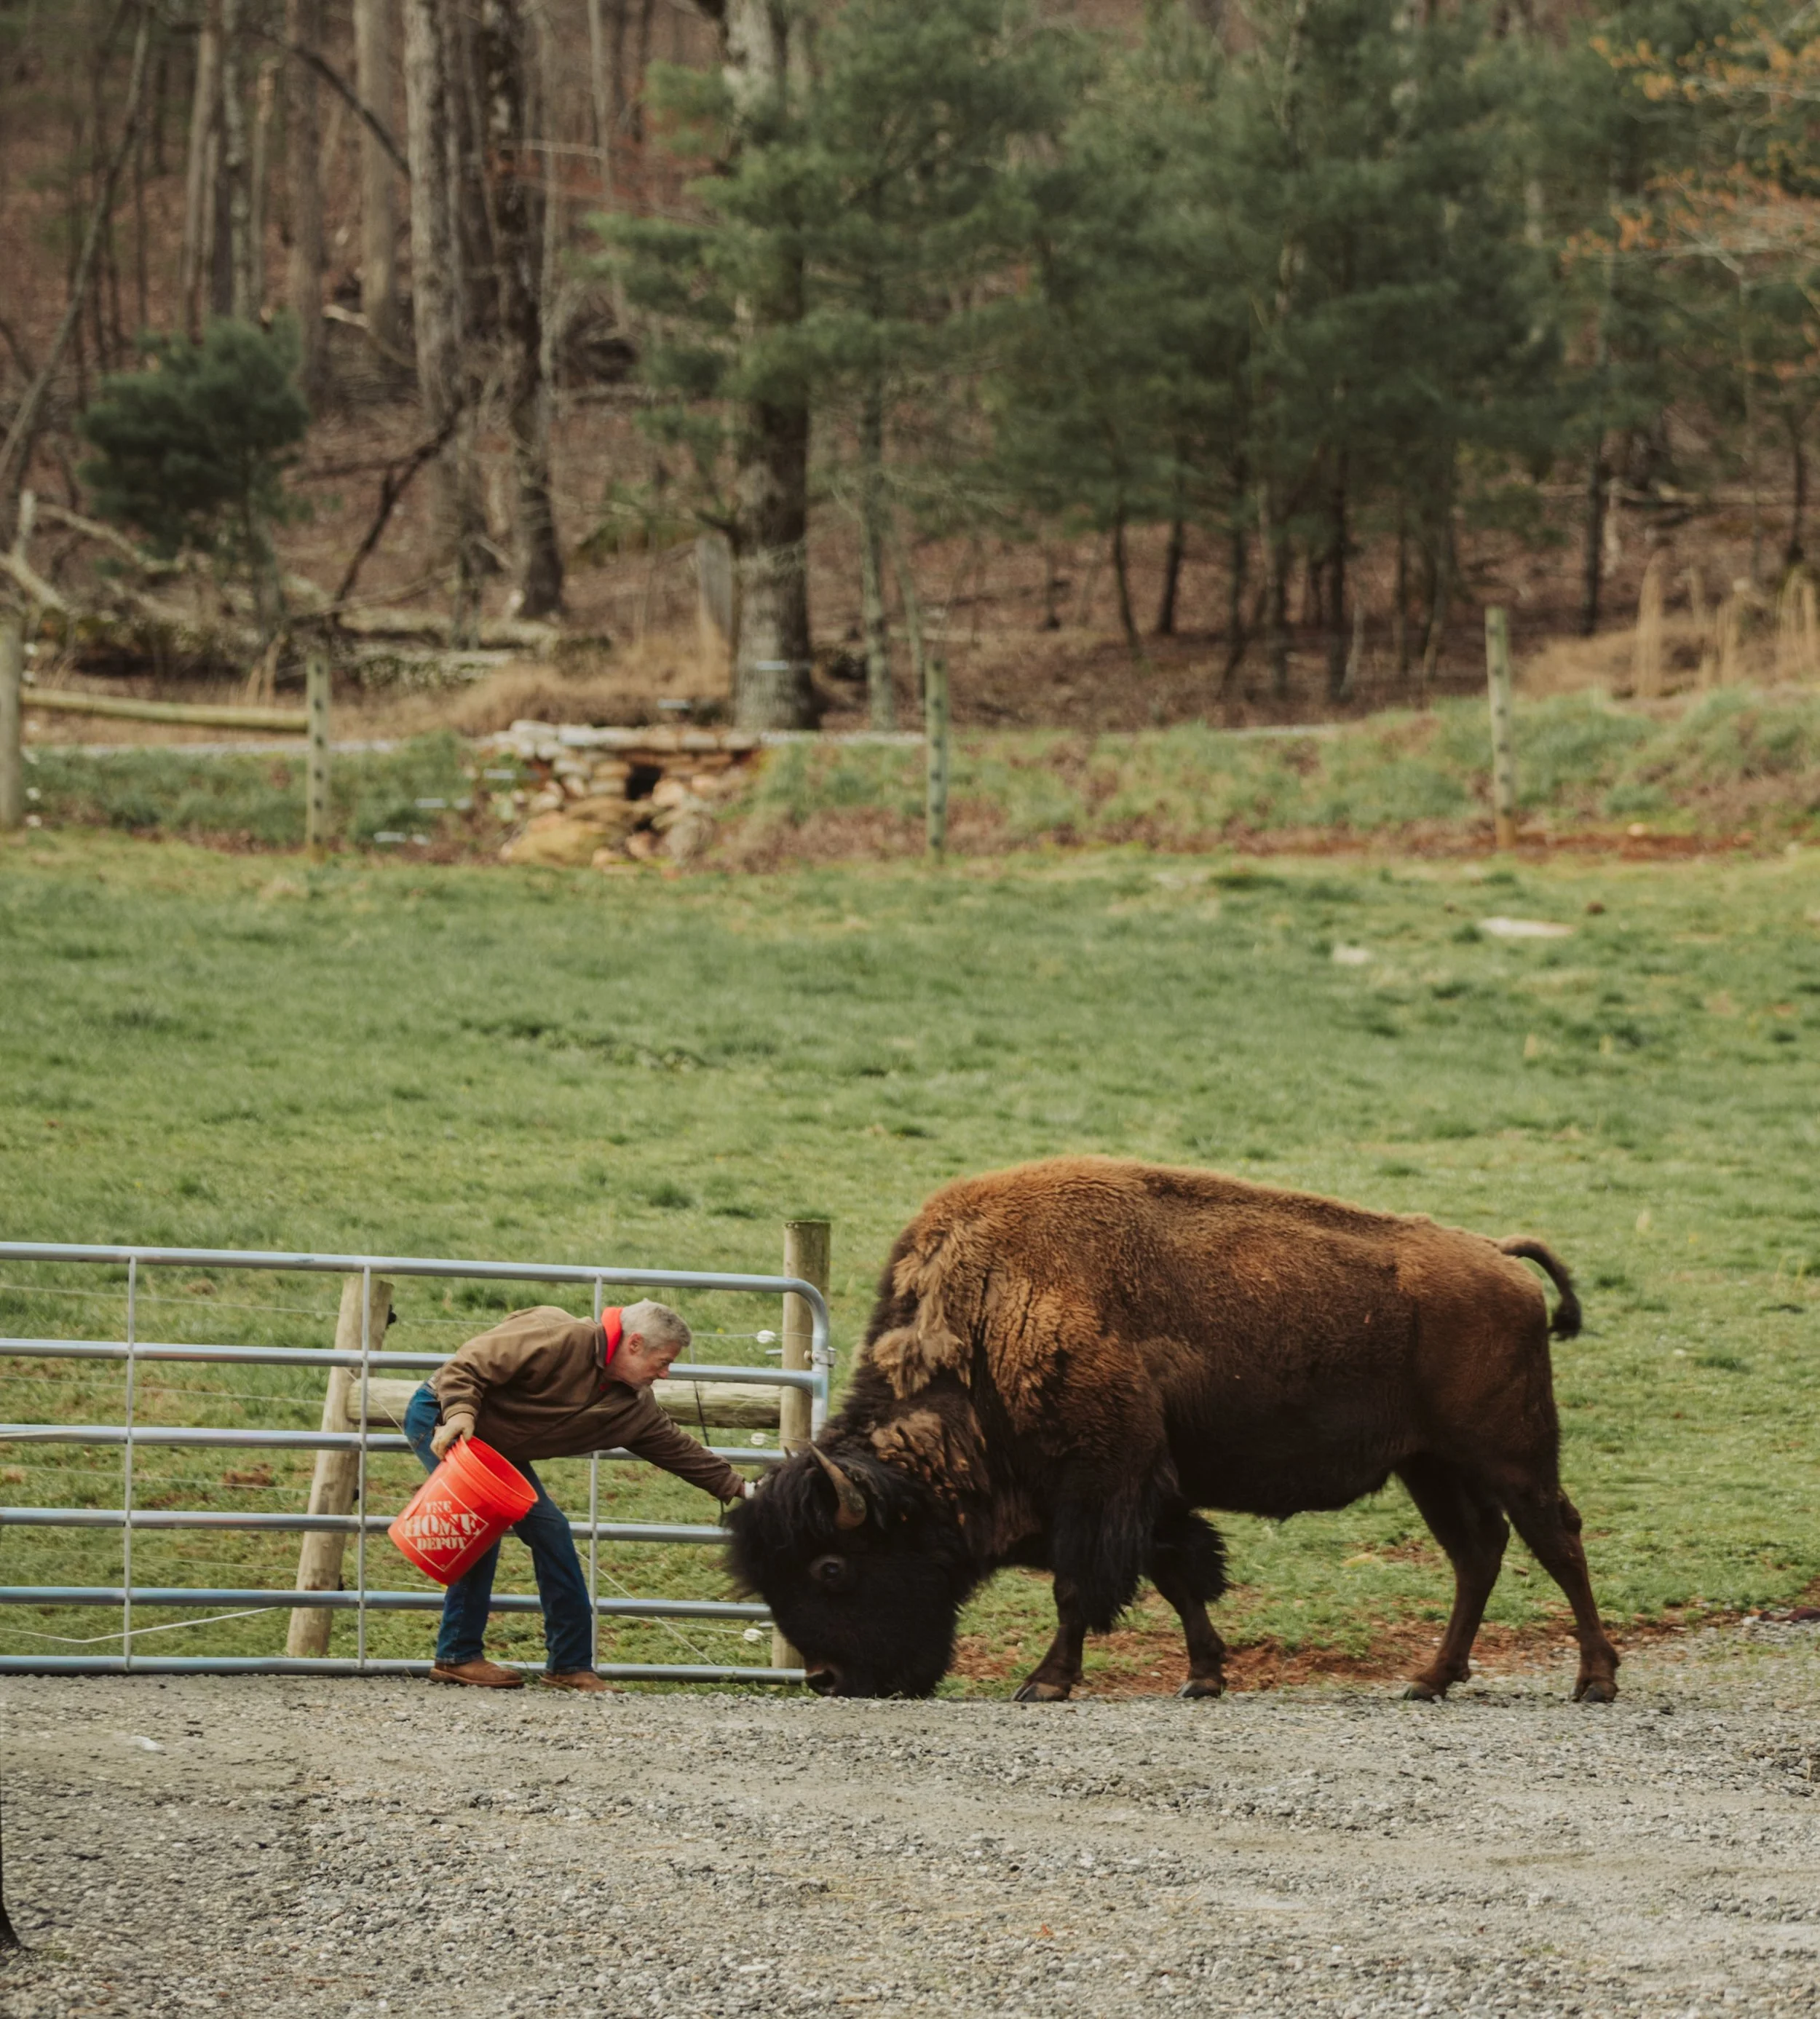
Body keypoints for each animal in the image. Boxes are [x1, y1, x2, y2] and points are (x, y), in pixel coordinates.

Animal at [729, 1156, 1619, 1704]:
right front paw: (1203, 1676)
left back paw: (1594, 1680)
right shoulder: (1151, 1492)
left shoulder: (1101, 1486)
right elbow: (1179, 1574)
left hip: (1510, 1454)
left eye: (833, 1567)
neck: (989, 1322)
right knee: (1479, 1552)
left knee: (1556, 1539)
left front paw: (1045, 1681)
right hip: (1431, 1466)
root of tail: (1497, 1256)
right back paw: (1431, 1679)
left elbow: (1081, 1587)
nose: (828, 1678)